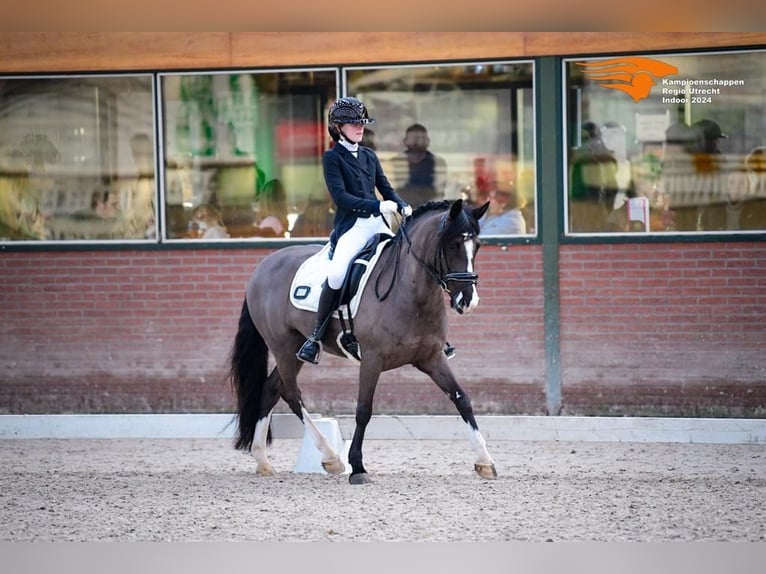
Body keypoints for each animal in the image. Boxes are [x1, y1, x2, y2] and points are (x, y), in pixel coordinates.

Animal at [228, 199, 498, 486]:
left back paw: (262, 460)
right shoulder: (372, 359)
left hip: (294, 349)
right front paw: (357, 466)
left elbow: (462, 399)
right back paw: (331, 458)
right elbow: (363, 410)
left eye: (478, 245)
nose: (469, 302)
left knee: (271, 389)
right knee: (291, 394)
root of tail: (264, 265)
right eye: (452, 244)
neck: (410, 292)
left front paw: (485, 462)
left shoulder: (431, 357)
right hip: (283, 346)